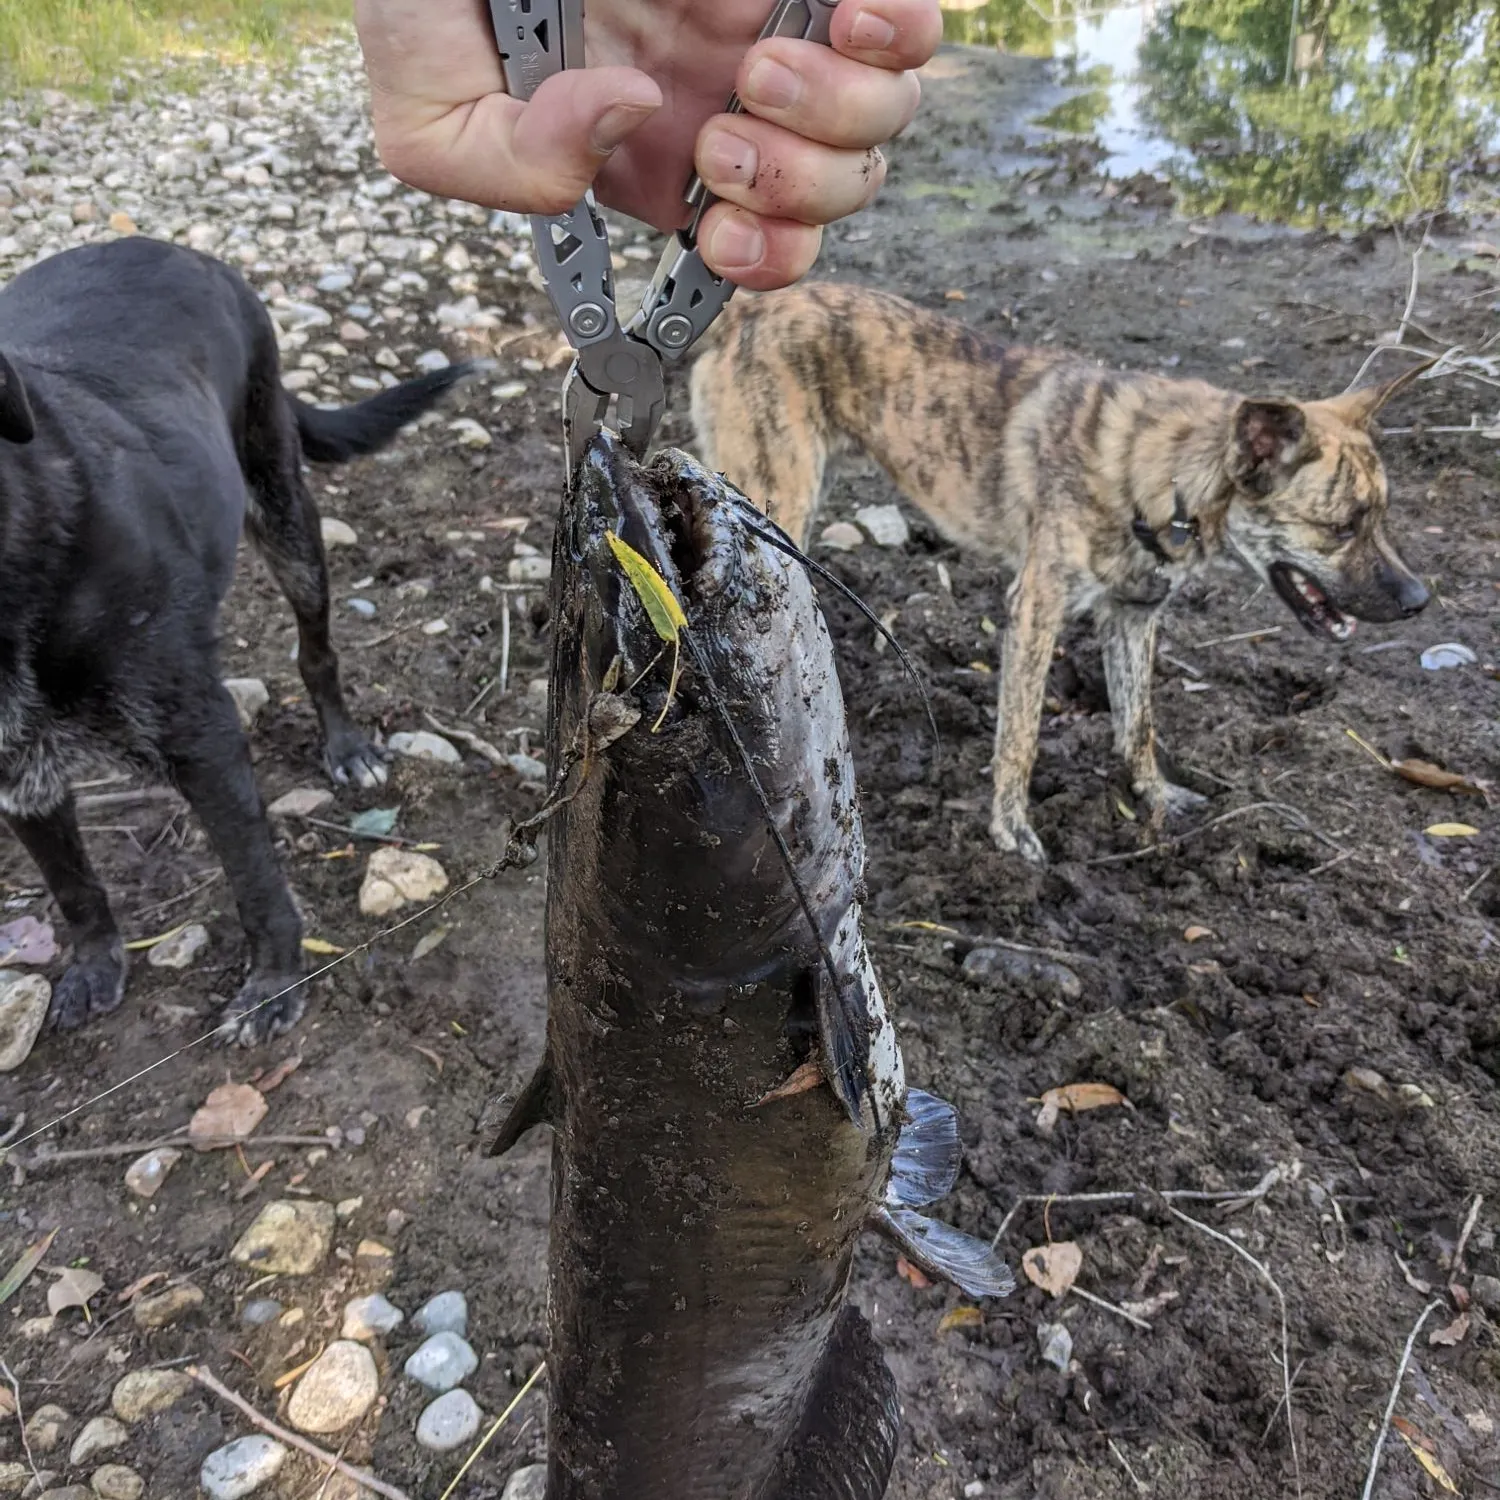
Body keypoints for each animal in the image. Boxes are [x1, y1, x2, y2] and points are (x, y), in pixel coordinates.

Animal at [0, 240, 468, 1050]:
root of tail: (178, 249)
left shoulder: (203, 738)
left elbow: (254, 880)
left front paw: (274, 984)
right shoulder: (20, 775)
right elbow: (73, 886)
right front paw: (95, 965)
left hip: (284, 509)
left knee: (317, 651)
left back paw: (347, 747)